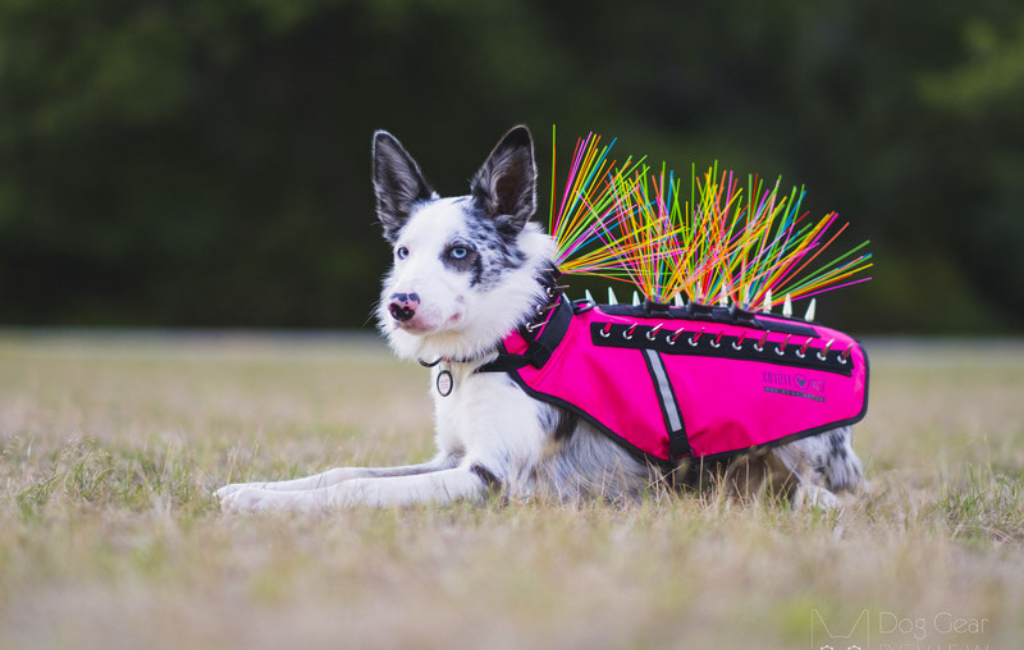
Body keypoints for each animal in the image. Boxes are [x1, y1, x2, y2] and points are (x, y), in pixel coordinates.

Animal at [218, 125, 864, 513]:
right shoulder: (450, 457)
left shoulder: (488, 478)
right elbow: (341, 471)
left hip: (800, 470)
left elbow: (353, 490)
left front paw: (271, 505)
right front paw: (251, 490)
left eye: (460, 252)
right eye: (402, 252)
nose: (399, 305)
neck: (502, 346)